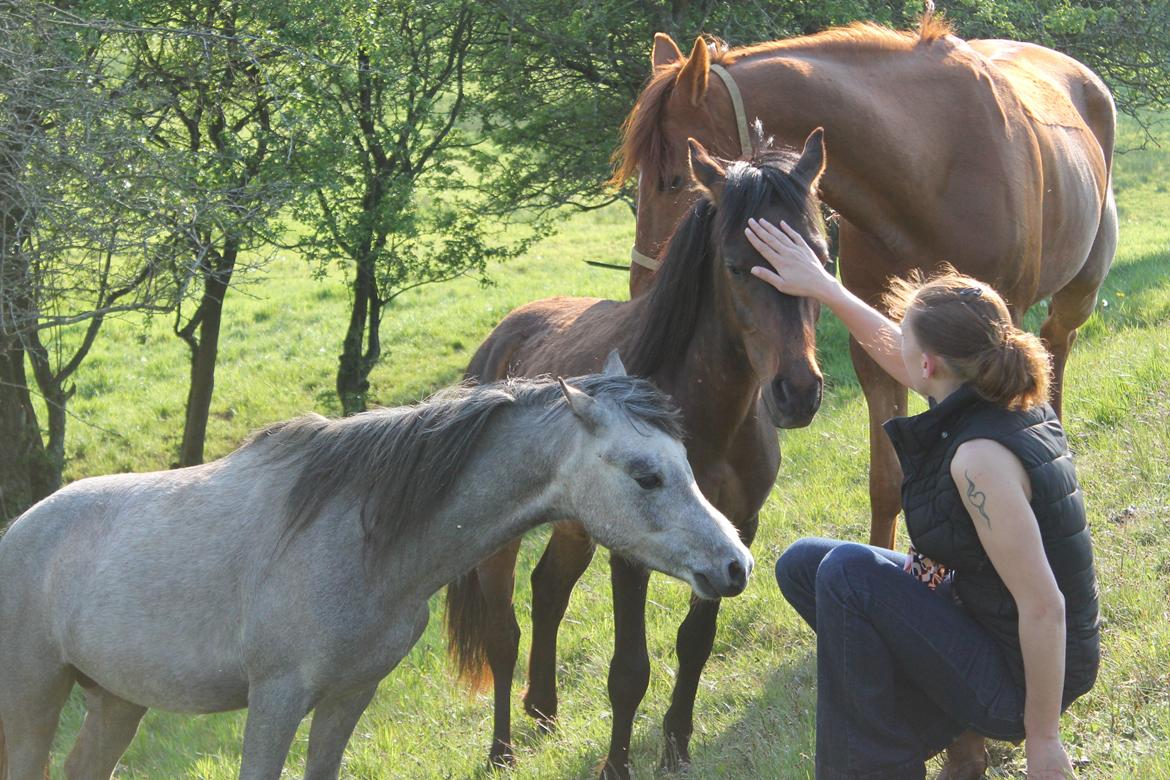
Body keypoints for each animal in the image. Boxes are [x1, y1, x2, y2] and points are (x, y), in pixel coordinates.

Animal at [0, 353, 748, 780]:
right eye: (647, 474)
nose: (735, 564)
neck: (364, 543)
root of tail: (19, 531)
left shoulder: (349, 696)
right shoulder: (275, 699)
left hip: (115, 702)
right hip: (34, 701)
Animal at [442, 130, 828, 776]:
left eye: (820, 259)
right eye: (735, 265)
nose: (797, 392)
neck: (706, 422)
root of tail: (503, 335)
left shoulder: (735, 534)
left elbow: (694, 644)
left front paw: (676, 747)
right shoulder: (631, 550)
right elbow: (628, 670)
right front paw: (616, 766)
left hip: (575, 526)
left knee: (548, 589)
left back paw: (543, 709)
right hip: (501, 539)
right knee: (502, 634)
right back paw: (502, 750)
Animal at [613, 15, 1113, 549]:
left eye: (676, 180)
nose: (644, 296)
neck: (930, 167)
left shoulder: (999, 322)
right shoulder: (875, 343)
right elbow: (886, 482)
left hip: (1077, 294)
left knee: (1054, 347)